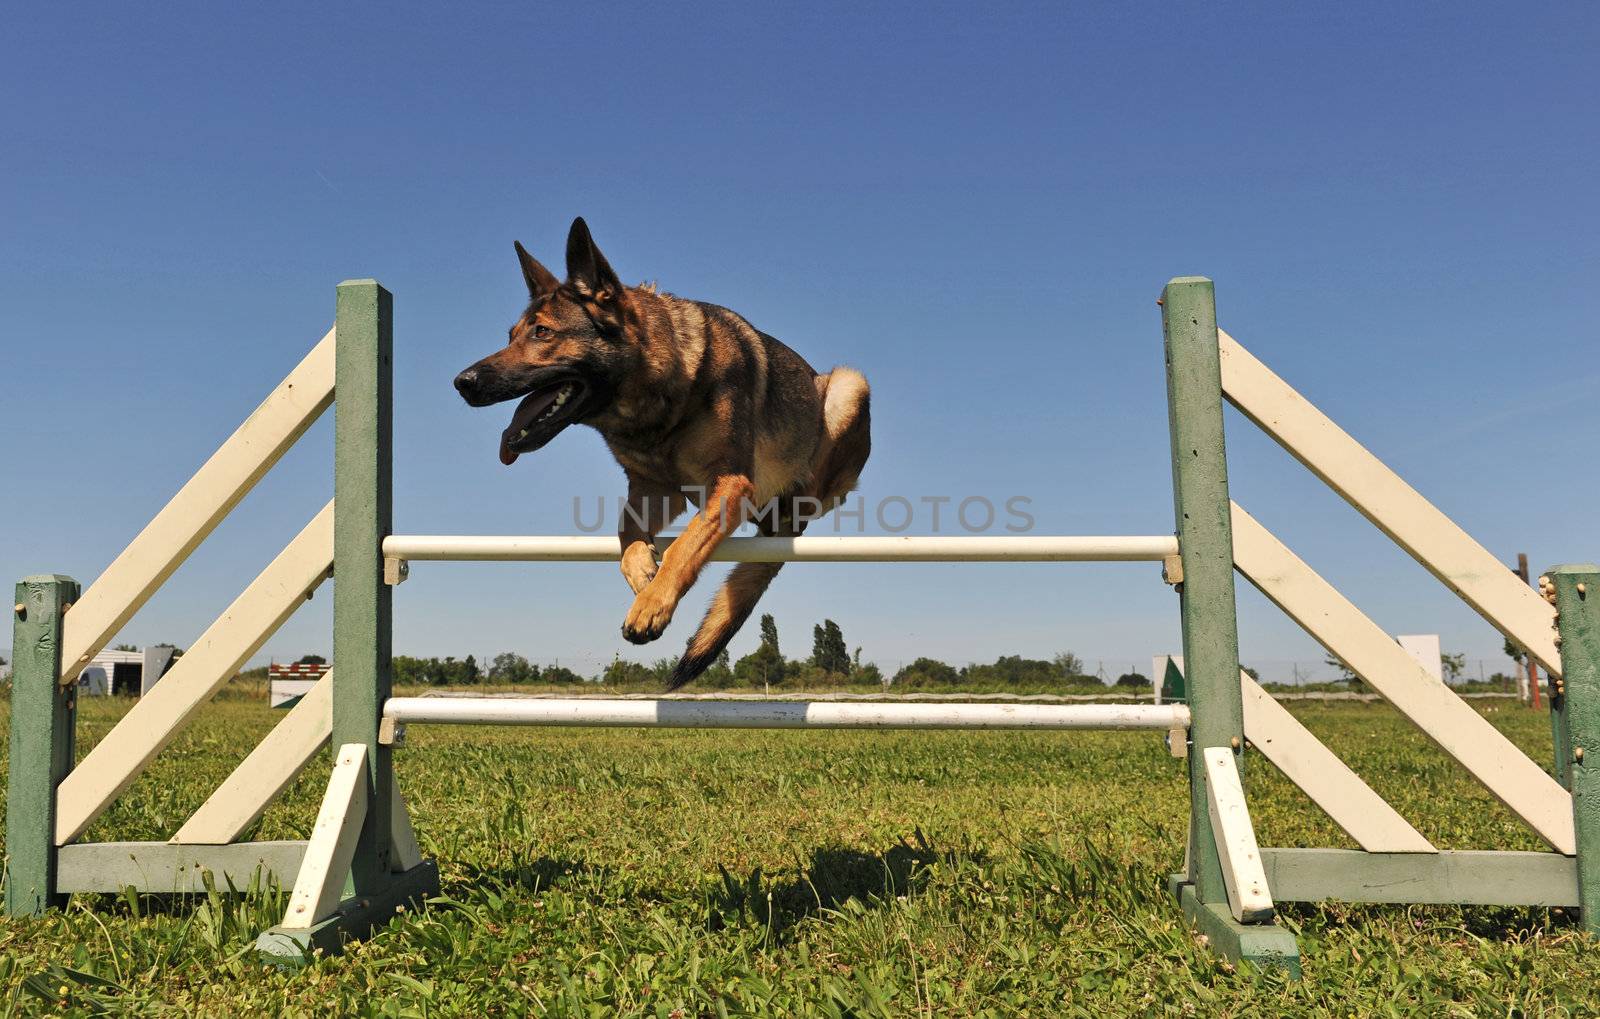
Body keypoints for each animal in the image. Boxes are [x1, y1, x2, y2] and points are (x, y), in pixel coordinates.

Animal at [451, 219, 876, 687]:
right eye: (510, 337)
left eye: (542, 332)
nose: (462, 383)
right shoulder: (655, 491)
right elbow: (626, 530)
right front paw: (641, 574)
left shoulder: (730, 485)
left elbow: (686, 545)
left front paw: (651, 606)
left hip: (847, 386)